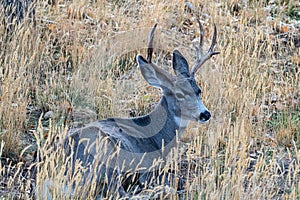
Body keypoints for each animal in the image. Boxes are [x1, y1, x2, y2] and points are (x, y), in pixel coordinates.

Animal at [62, 19, 218, 198]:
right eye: (179, 94)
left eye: (199, 90)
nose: (205, 114)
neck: (156, 138)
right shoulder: (149, 169)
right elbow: (175, 178)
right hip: (106, 158)